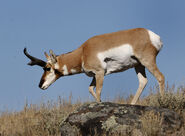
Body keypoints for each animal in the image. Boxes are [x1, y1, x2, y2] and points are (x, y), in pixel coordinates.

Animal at [23, 27, 165, 104]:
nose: (40, 85)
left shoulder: (100, 73)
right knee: (143, 81)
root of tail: (153, 35)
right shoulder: (95, 75)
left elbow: (98, 91)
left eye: (47, 68)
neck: (83, 52)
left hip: (147, 61)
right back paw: (132, 104)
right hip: (138, 65)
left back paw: (162, 102)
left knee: (160, 77)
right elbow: (90, 89)